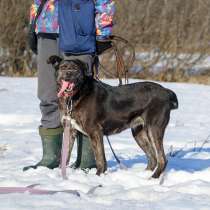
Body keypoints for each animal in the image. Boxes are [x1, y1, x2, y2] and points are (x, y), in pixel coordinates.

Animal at [47, 55, 177, 177]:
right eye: (63, 67)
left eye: (75, 69)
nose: (68, 74)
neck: (75, 96)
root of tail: (166, 92)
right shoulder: (70, 130)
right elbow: (65, 156)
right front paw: (60, 175)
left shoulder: (95, 131)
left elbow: (100, 158)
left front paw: (99, 176)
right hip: (138, 132)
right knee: (153, 158)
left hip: (153, 129)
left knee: (162, 159)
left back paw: (153, 178)